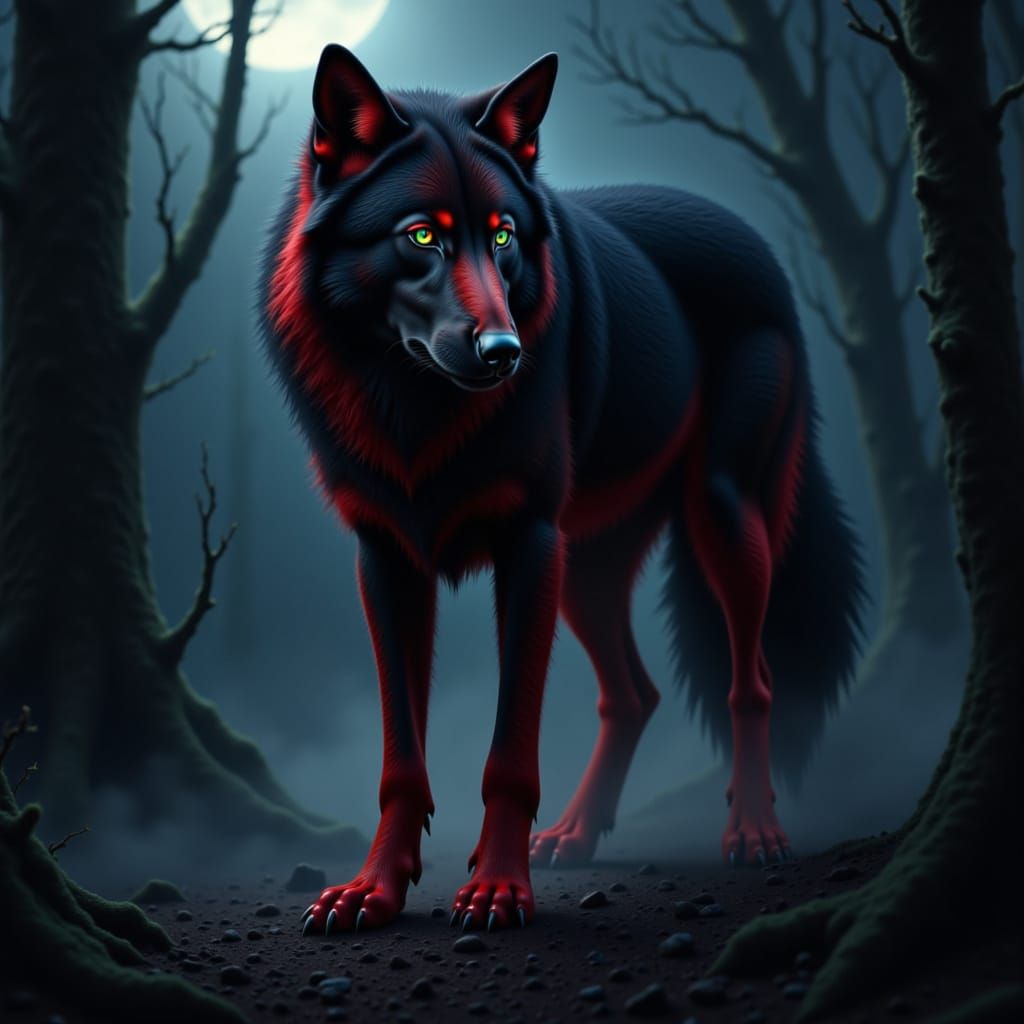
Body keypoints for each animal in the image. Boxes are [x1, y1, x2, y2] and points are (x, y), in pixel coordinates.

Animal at [260, 45, 863, 934]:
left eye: (503, 235)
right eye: (422, 236)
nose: (506, 352)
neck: (413, 407)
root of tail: (754, 238)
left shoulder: (527, 545)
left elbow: (510, 751)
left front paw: (497, 890)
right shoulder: (386, 559)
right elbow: (401, 758)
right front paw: (373, 890)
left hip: (715, 520)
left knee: (750, 682)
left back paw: (753, 831)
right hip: (586, 566)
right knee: (634, 694)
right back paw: (575, 836)